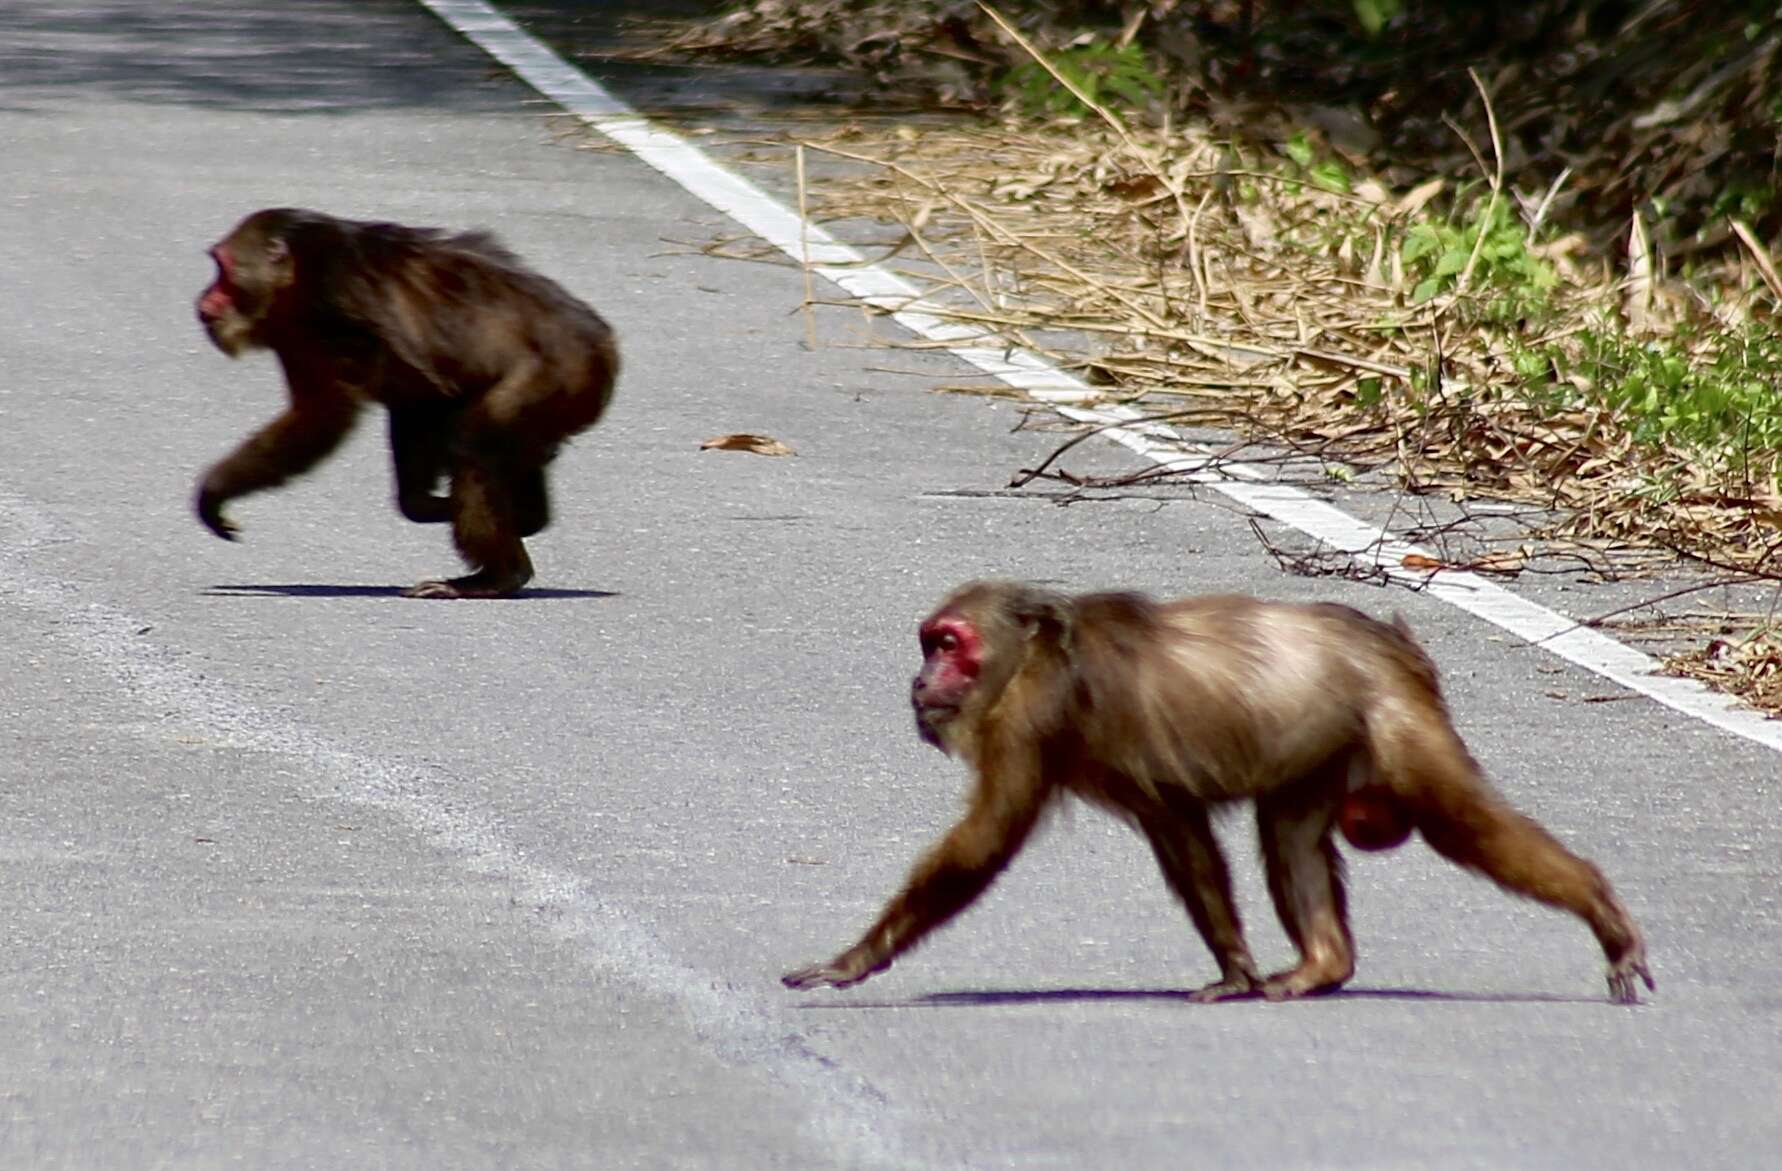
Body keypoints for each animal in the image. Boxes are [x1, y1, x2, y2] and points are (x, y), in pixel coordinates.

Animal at [194, 202, 620, 598]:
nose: (205, 299)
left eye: (223, 271)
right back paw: (527, 515)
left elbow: (322, 417)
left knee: (474, 444)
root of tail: (603, 346)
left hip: (555, 379)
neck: (301, 267)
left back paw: (498, 576)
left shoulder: (328, 312)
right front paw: (431, 504)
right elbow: (416, 401)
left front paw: (214, 491)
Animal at [784, 581, 1653, 998]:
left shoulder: (1030, 716)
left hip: (1396, 722)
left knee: (1464, 821)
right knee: (1291, 833)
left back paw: (1600, 907)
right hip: (1325, 752)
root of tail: (1394, 642)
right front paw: (1235, 968)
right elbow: (1181, 832)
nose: (919, 679)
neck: (1032, 653)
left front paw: (855, 959)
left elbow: (985, 841)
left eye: (947, 644)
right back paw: (1323, 963)